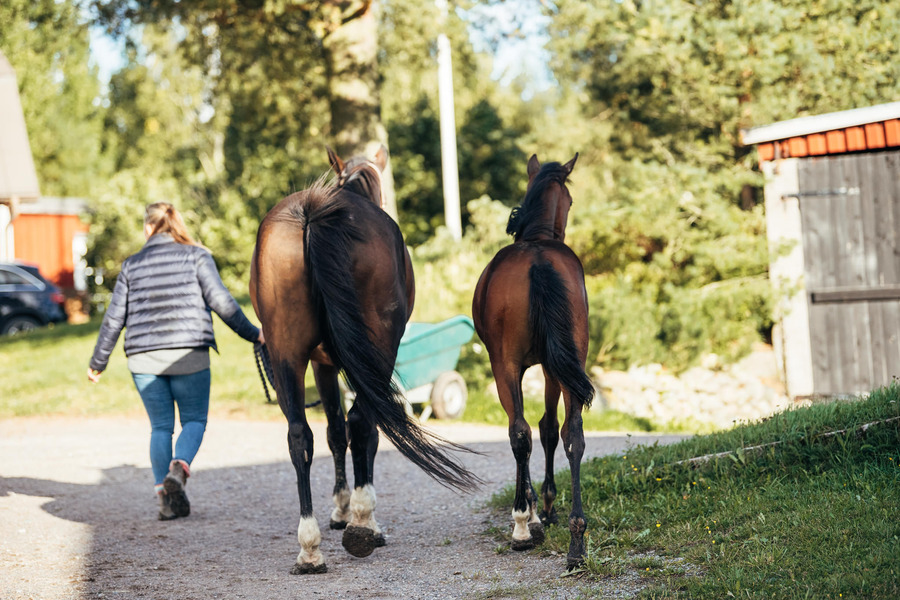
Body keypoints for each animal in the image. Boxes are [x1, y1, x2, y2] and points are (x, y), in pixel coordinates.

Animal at [251, 146, 478, 576]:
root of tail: (312, 212)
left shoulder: (322, 363)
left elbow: (333, 432)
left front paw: (339, 509)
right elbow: (365, 431)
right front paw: (358, 514)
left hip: (285, 351)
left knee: (299, 435)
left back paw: (310, 548)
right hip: (377, 347)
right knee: (362, 421)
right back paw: (362, 523)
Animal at [474, 152, 596, 568]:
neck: (538, 239)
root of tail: (538, 260)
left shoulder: (534, 366)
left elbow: (535, 430)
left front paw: (535, 512)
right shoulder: (554, 364)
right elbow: (551, 428)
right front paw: (546, 508)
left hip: (505, 366)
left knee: (520, 433)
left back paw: (523, 525)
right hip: (571, 359)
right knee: (573, 435)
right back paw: (576, 539)